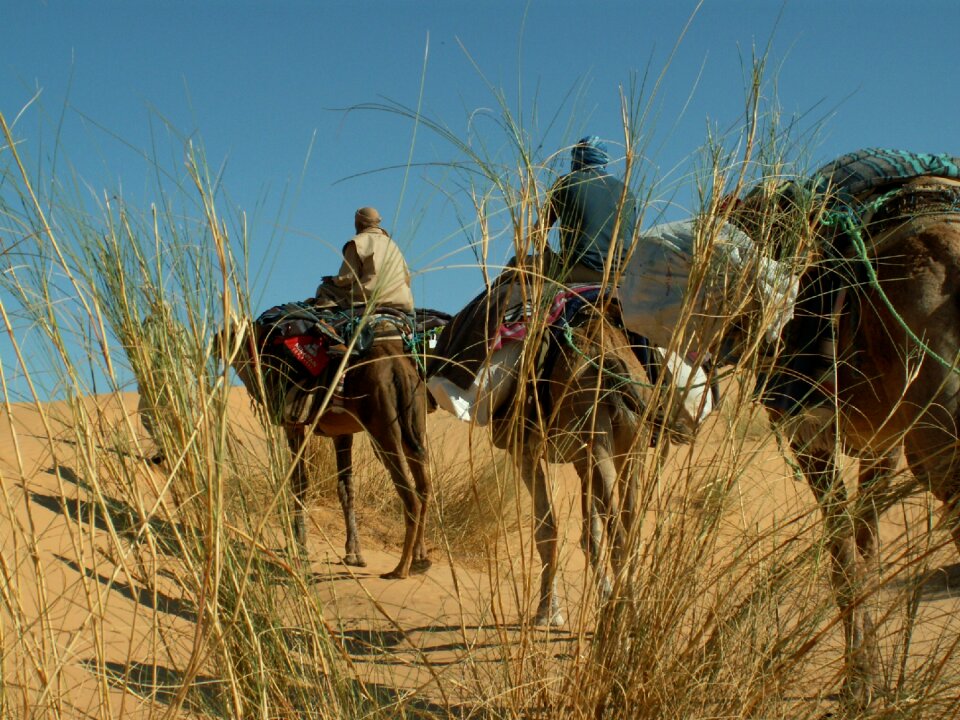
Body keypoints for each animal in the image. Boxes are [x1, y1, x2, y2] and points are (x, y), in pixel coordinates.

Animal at [221, 314, 432, 580]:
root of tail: (397, 369)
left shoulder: (293, 424)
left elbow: (299, 481)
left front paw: (299, 546)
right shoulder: (341, 433)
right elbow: (346, 488)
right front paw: (354, 554)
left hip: (383, 428)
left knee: (410, 496)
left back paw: (400, 569)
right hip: (414, 421)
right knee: (425, 487)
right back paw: (420, 560)